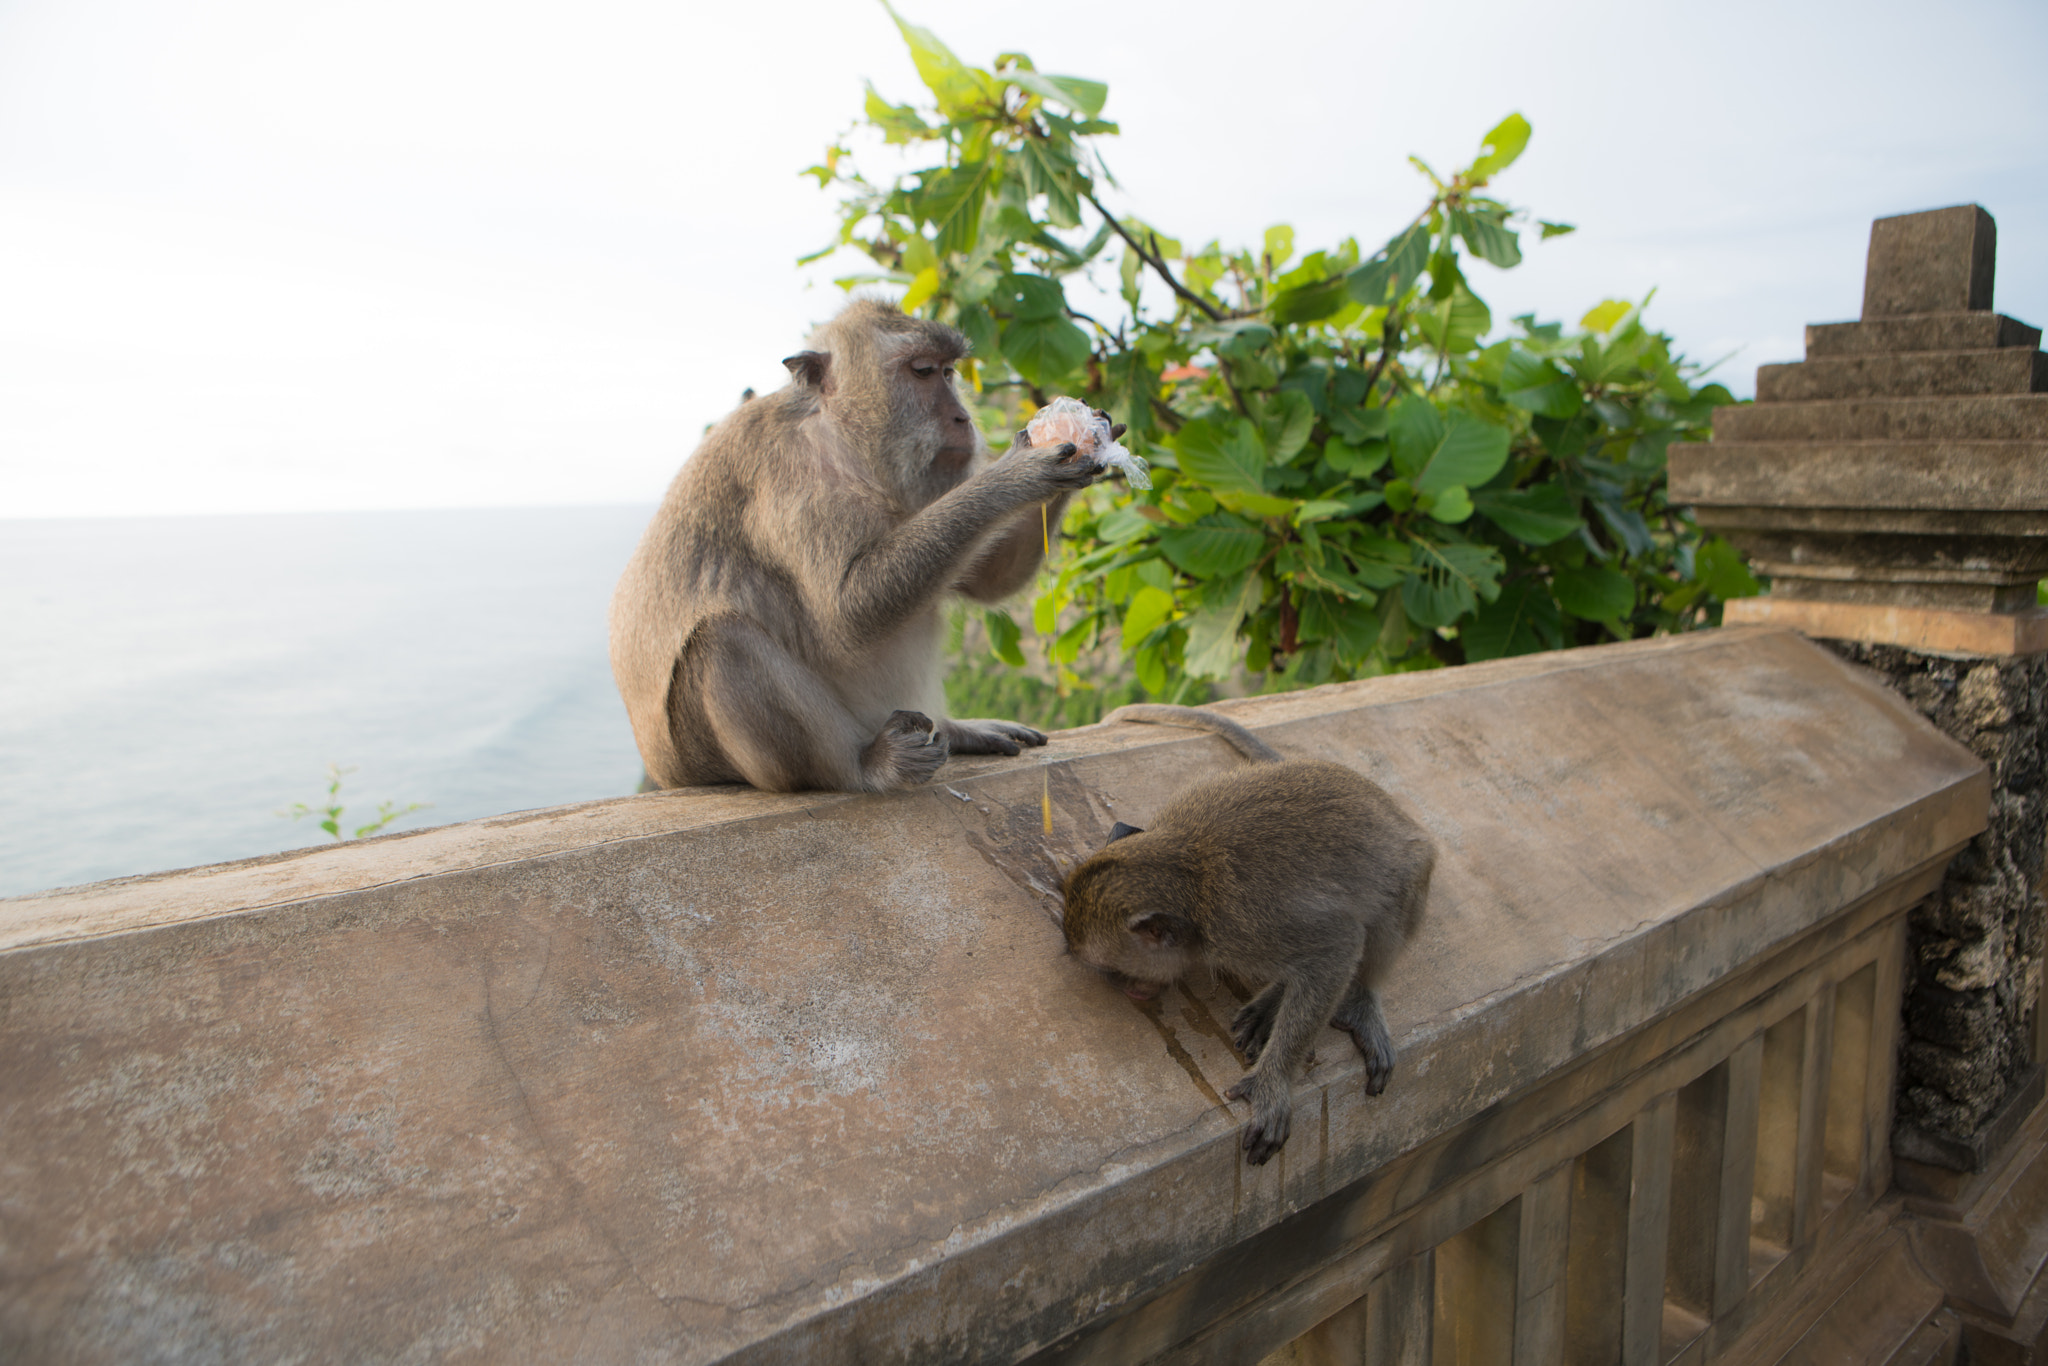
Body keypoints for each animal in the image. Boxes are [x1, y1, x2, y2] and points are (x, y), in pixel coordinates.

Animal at [606, 299, 1122, 790]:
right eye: (922, 371)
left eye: (949, 372)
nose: (963, 417)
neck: (843, 440)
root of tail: (667, 772)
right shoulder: (788, 476)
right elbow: (849, 611)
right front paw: (1020, 472)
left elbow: (987, 580)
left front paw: (1090, 437)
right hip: (709, 756)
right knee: (720, 644)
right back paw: (864, 769)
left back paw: (954, 730)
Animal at [1064, 704, 1433, 1163]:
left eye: (1114, 972)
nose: (1129, 989)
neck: (1192, 874)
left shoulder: (1242, 928)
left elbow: (1338, 946)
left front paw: (1272, 1083)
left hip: (1412, 868)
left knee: (1396, 892)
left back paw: (1357, 997)